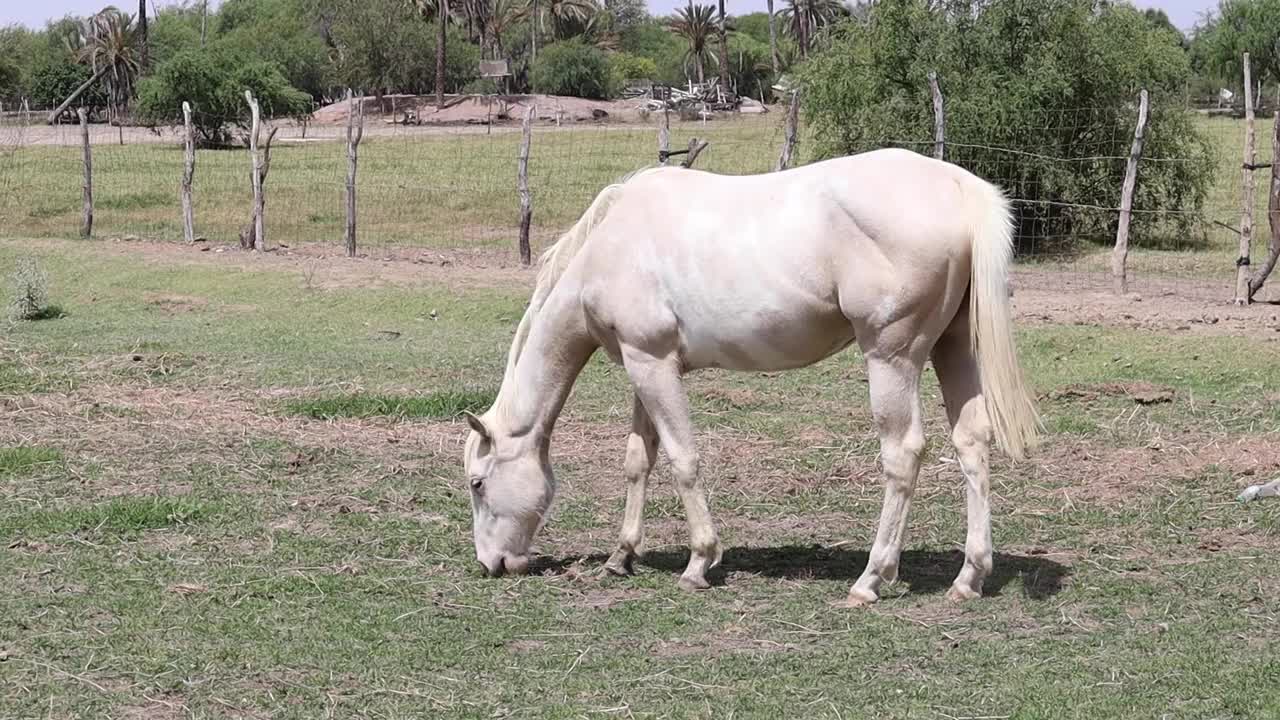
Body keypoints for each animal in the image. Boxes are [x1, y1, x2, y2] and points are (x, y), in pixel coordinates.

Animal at [460, 148, 1039, 602]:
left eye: (477, 483)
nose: (491, 564)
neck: (611, 246)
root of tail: (958, 186)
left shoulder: (653, 366)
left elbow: (683, 459)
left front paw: (699, 562)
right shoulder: (643, 365)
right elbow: (638, 461)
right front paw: (621, 556)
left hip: (891, 358)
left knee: (903, 455)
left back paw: (871, 578)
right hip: (954, 347)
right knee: (971, 444)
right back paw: (968, 578)